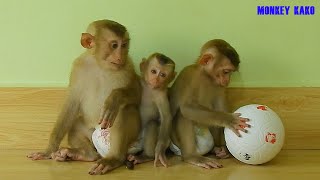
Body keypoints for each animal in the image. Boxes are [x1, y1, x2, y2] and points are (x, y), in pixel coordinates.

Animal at [27, 19, 141, 174]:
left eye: (124, 45)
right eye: (114, 45)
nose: (121, 56)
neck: (99, 64)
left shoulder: (128, 66)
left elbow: (137, 92)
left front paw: (114, 99)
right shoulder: (78, 67)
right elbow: (72, 103)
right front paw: (48, 150)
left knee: (125, 110)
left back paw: (113, 159)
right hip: (89, 129)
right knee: (76, 125)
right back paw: (85, 154)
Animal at [169, 39, 251, 169]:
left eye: (230, 73)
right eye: (226, 71)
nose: (227, 80)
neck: (206, 76)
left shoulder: (219, 86)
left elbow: (220, 108)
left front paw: (225, 149)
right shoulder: (189, 74)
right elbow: (187, 107)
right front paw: (229, 119)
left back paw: (217, 150)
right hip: (176, 143)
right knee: (183, 114)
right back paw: (191, 156)